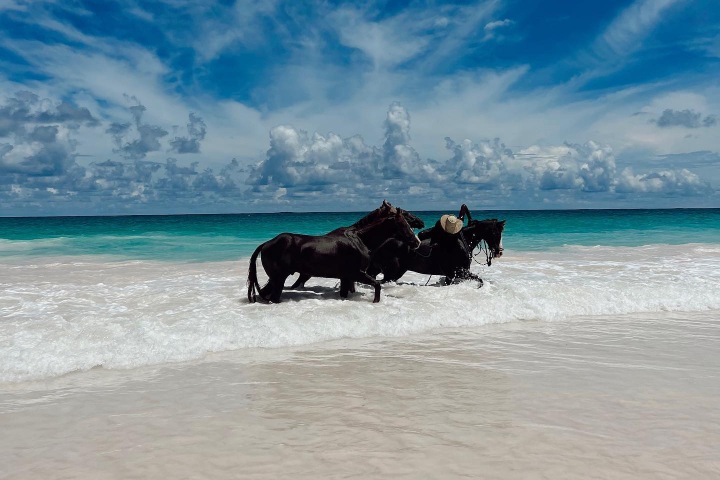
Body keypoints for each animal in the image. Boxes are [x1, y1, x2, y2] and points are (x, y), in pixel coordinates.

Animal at [247, 209, 421, 303]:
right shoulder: (357, 274)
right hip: (279, 279)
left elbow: (345, 293)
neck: (359, 240)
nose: (417, 242)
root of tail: (266, 244)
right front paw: (375, 301)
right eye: (403, 224)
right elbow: (377, 285)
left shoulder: (346, 277)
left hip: (275, 279)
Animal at [368, 218, 505, 286]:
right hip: (391, 273)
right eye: (495, 232)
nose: (499, 252)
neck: (461, 241)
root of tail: (380, 246)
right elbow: (480, 281)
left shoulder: (452, 275)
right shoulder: (458, 272)